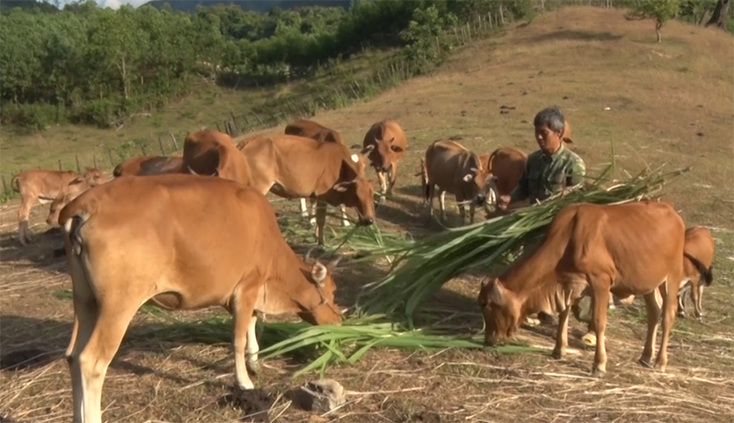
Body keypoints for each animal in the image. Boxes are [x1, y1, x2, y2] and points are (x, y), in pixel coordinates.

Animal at [58, 173, 344, 423]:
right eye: (333, 291)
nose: (340, 323)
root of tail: (85, 204)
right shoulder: (246, 287)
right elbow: (238, 338)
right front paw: (244, 379)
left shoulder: (245, 293)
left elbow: (251, 323)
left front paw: (254, 361)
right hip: (117, 306)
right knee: (91, 362)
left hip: (85, 301)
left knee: (73, 355)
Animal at [239, 132, 376, 245]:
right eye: (357, 196)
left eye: (372, 195)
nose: (369, 220)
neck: (341, 166)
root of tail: (247, 141)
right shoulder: (322, 196)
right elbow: (321, 220)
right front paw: (321, 242)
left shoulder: (315, 196)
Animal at [478, 202, 708, 378]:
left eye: (488, 305)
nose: (488, 340)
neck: (569, 238)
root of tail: (672, 212)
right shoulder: (570, 284)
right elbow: (563, 314)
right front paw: (558, 349)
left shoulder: (601, 281)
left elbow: (598, 322)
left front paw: (599, 364)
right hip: (649, 282)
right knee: (654, 312)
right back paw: (645, 356)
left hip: (671, 277)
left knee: (668, 315)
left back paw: (660, 361)